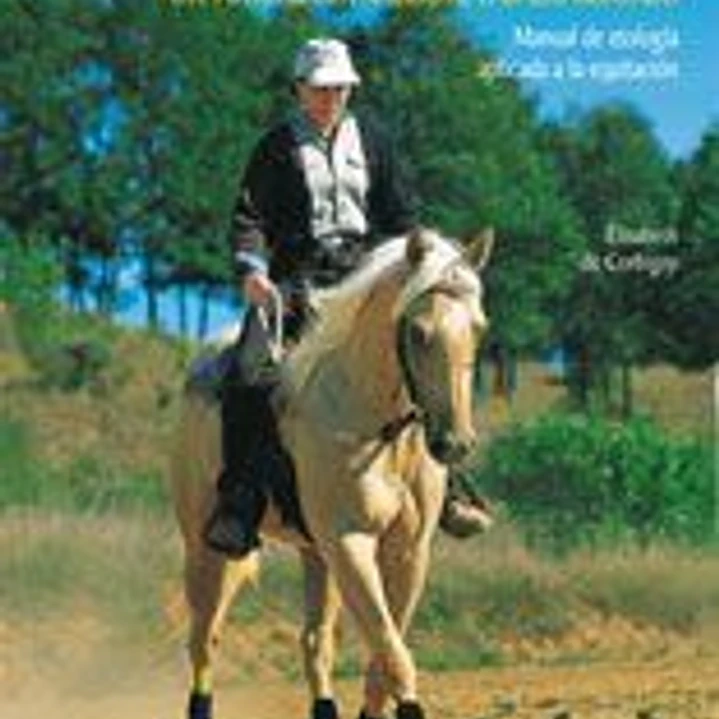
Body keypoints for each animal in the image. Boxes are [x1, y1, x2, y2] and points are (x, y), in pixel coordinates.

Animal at [169, 226, 493, 719]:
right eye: (418, 331)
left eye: (479, 328)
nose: (454, 443)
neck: (377, 427)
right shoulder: (349, 542)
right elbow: (393, 653)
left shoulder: (407, 552)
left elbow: (384, 654)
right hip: (206, 549)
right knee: (204, 640)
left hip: (316, 553)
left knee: (315, 643)